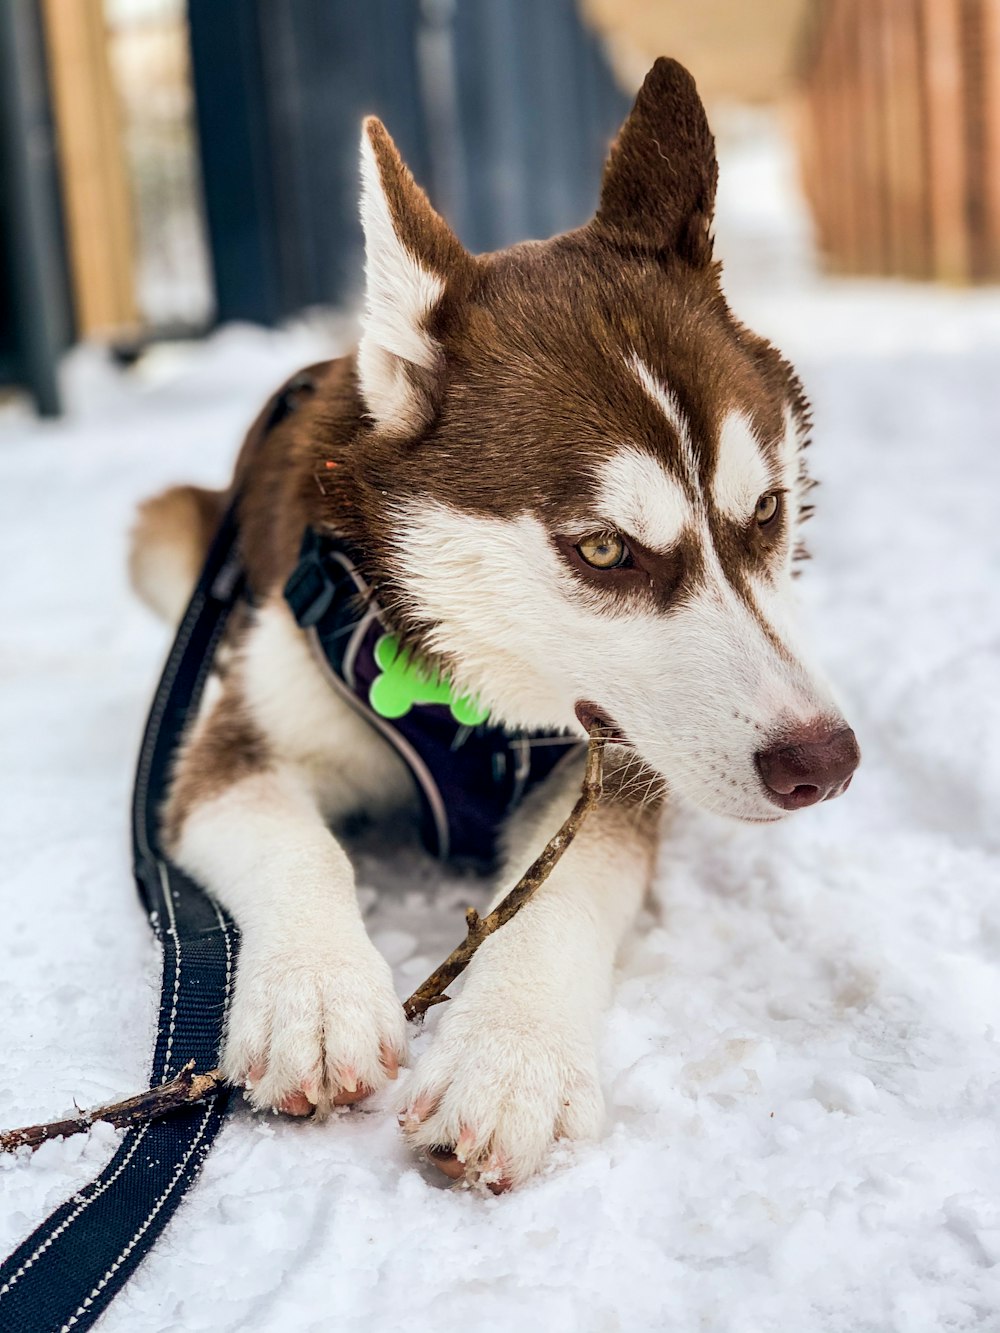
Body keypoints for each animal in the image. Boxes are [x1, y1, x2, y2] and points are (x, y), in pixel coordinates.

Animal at [127, 57, 864, 1194]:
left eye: (770, 510)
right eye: (602, 549)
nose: (824, 761)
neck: (467, 699)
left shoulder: (618, 771)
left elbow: (559, 892)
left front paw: (507, 1056)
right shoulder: (231, 750)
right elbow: (295, 840)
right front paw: (317, 993)